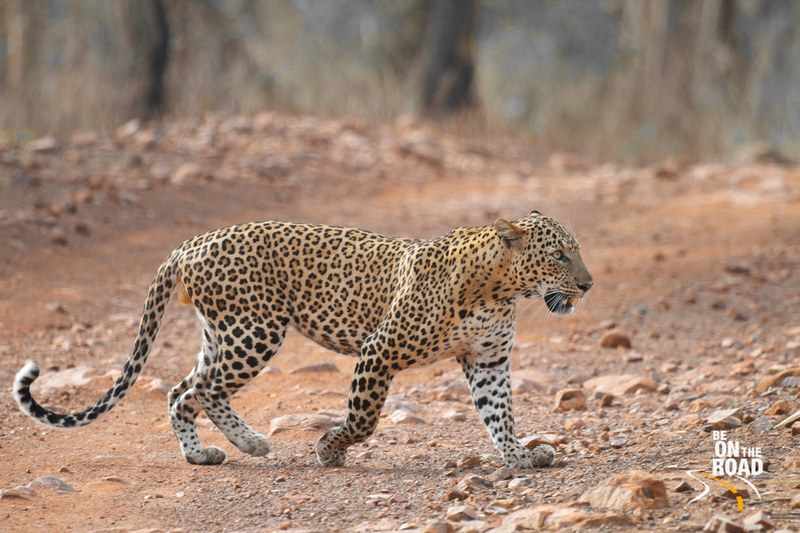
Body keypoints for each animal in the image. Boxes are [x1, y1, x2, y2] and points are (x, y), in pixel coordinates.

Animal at [10, 210, 588, 468]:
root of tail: (190, 242)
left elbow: (499, 414)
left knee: (182, 390)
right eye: (560, 254)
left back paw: (213, 452)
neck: (502, 289)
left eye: (574, 251)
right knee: (201, 389)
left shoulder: (488, 360)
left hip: (223, 334)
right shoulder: (378, 351)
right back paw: (244, 444)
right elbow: (363, 418)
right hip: (254, 332)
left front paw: (519, 455)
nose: (587, 284)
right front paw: (329, 448)